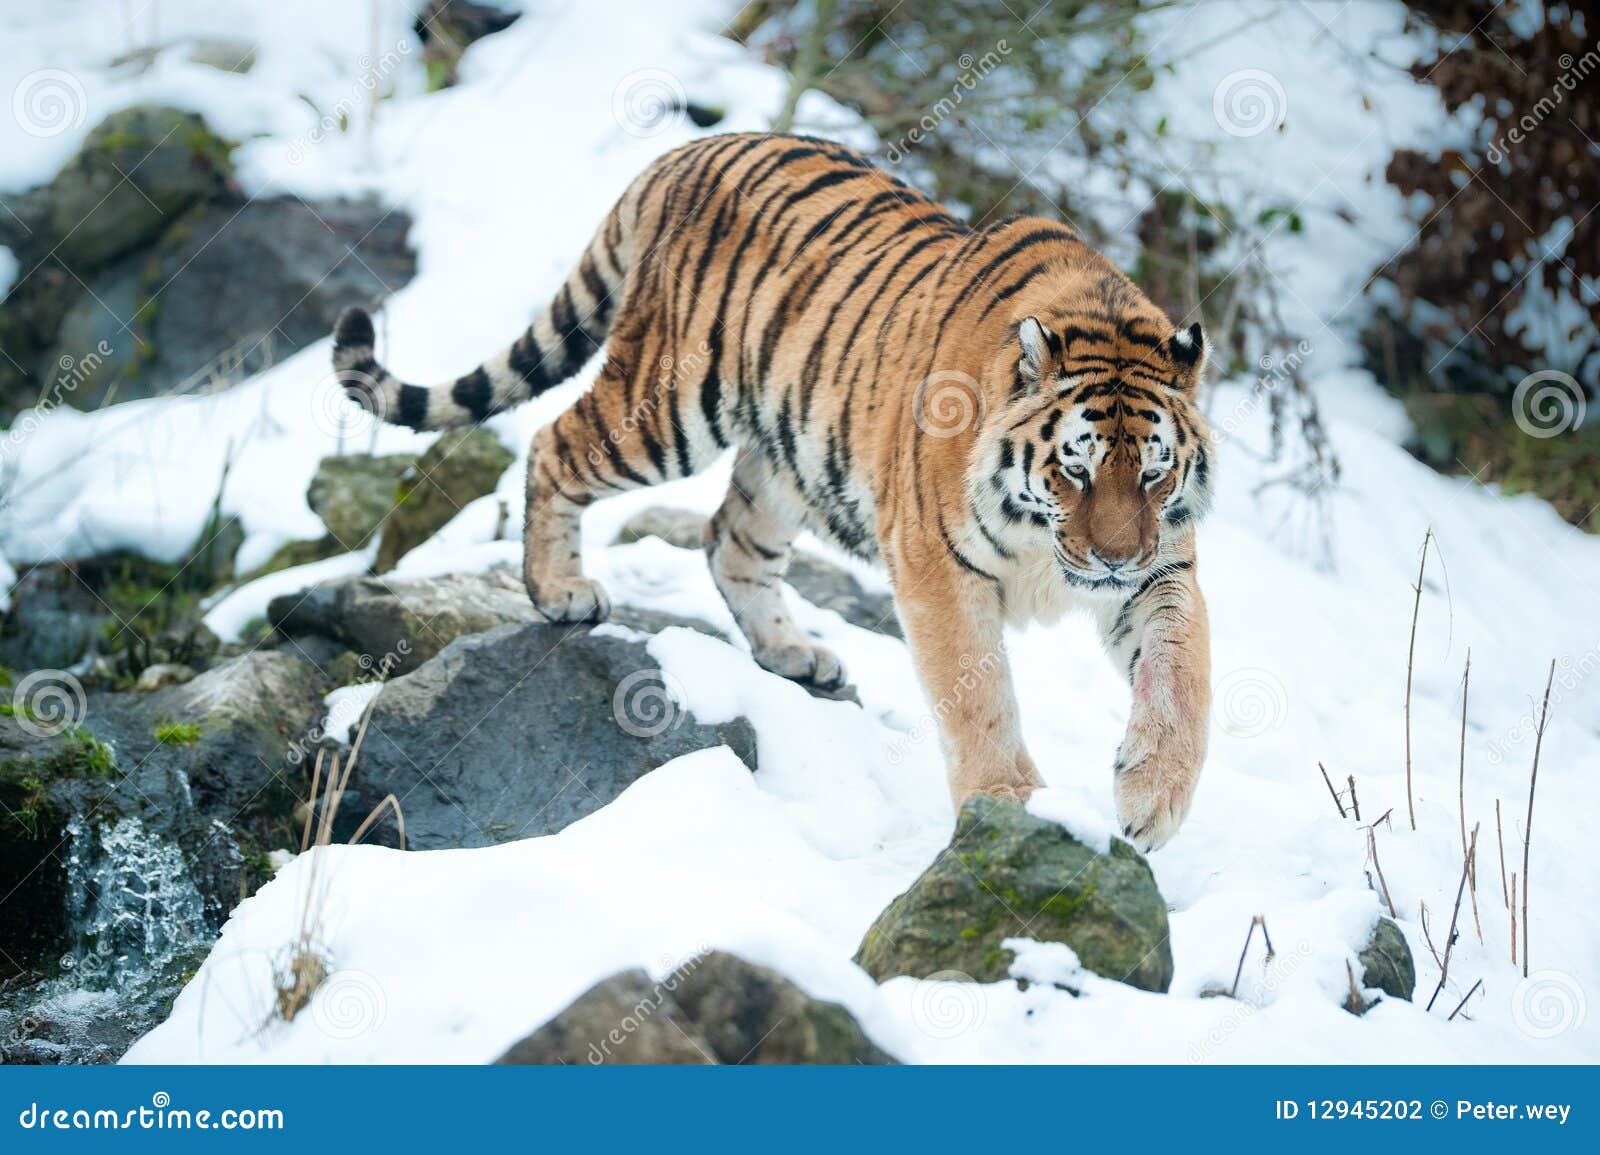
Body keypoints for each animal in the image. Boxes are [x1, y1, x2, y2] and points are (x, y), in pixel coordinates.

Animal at [337, 132, 1209, 844]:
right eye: (1075, 467)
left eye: (1153, 470)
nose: (1112, 560)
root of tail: (685, 151)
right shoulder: (939, 564)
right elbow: (979, 690)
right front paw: (1008, 800)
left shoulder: (1161, 568)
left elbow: (1182, 676)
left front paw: (1152, 800)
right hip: (667, 406)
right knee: (554, 442)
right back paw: (560, 590)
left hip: (790, 451)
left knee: (729, 540)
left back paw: (794, 653)